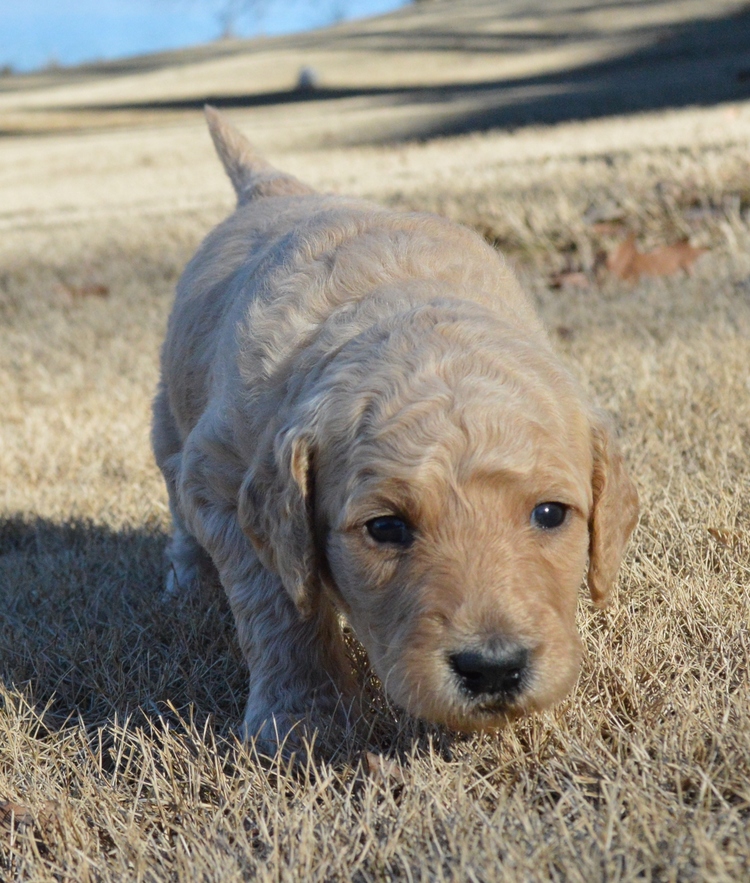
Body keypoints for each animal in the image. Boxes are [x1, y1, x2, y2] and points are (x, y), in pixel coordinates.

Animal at [153, 107, 640, 748]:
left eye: (551, 514)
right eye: (384, 528)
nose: (493, 669)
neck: (396, 302)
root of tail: (274, 188)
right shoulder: (224, 478)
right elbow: (278, 605)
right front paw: (303, 718)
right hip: (170, 421)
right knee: (174, 491)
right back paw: (187, 580)